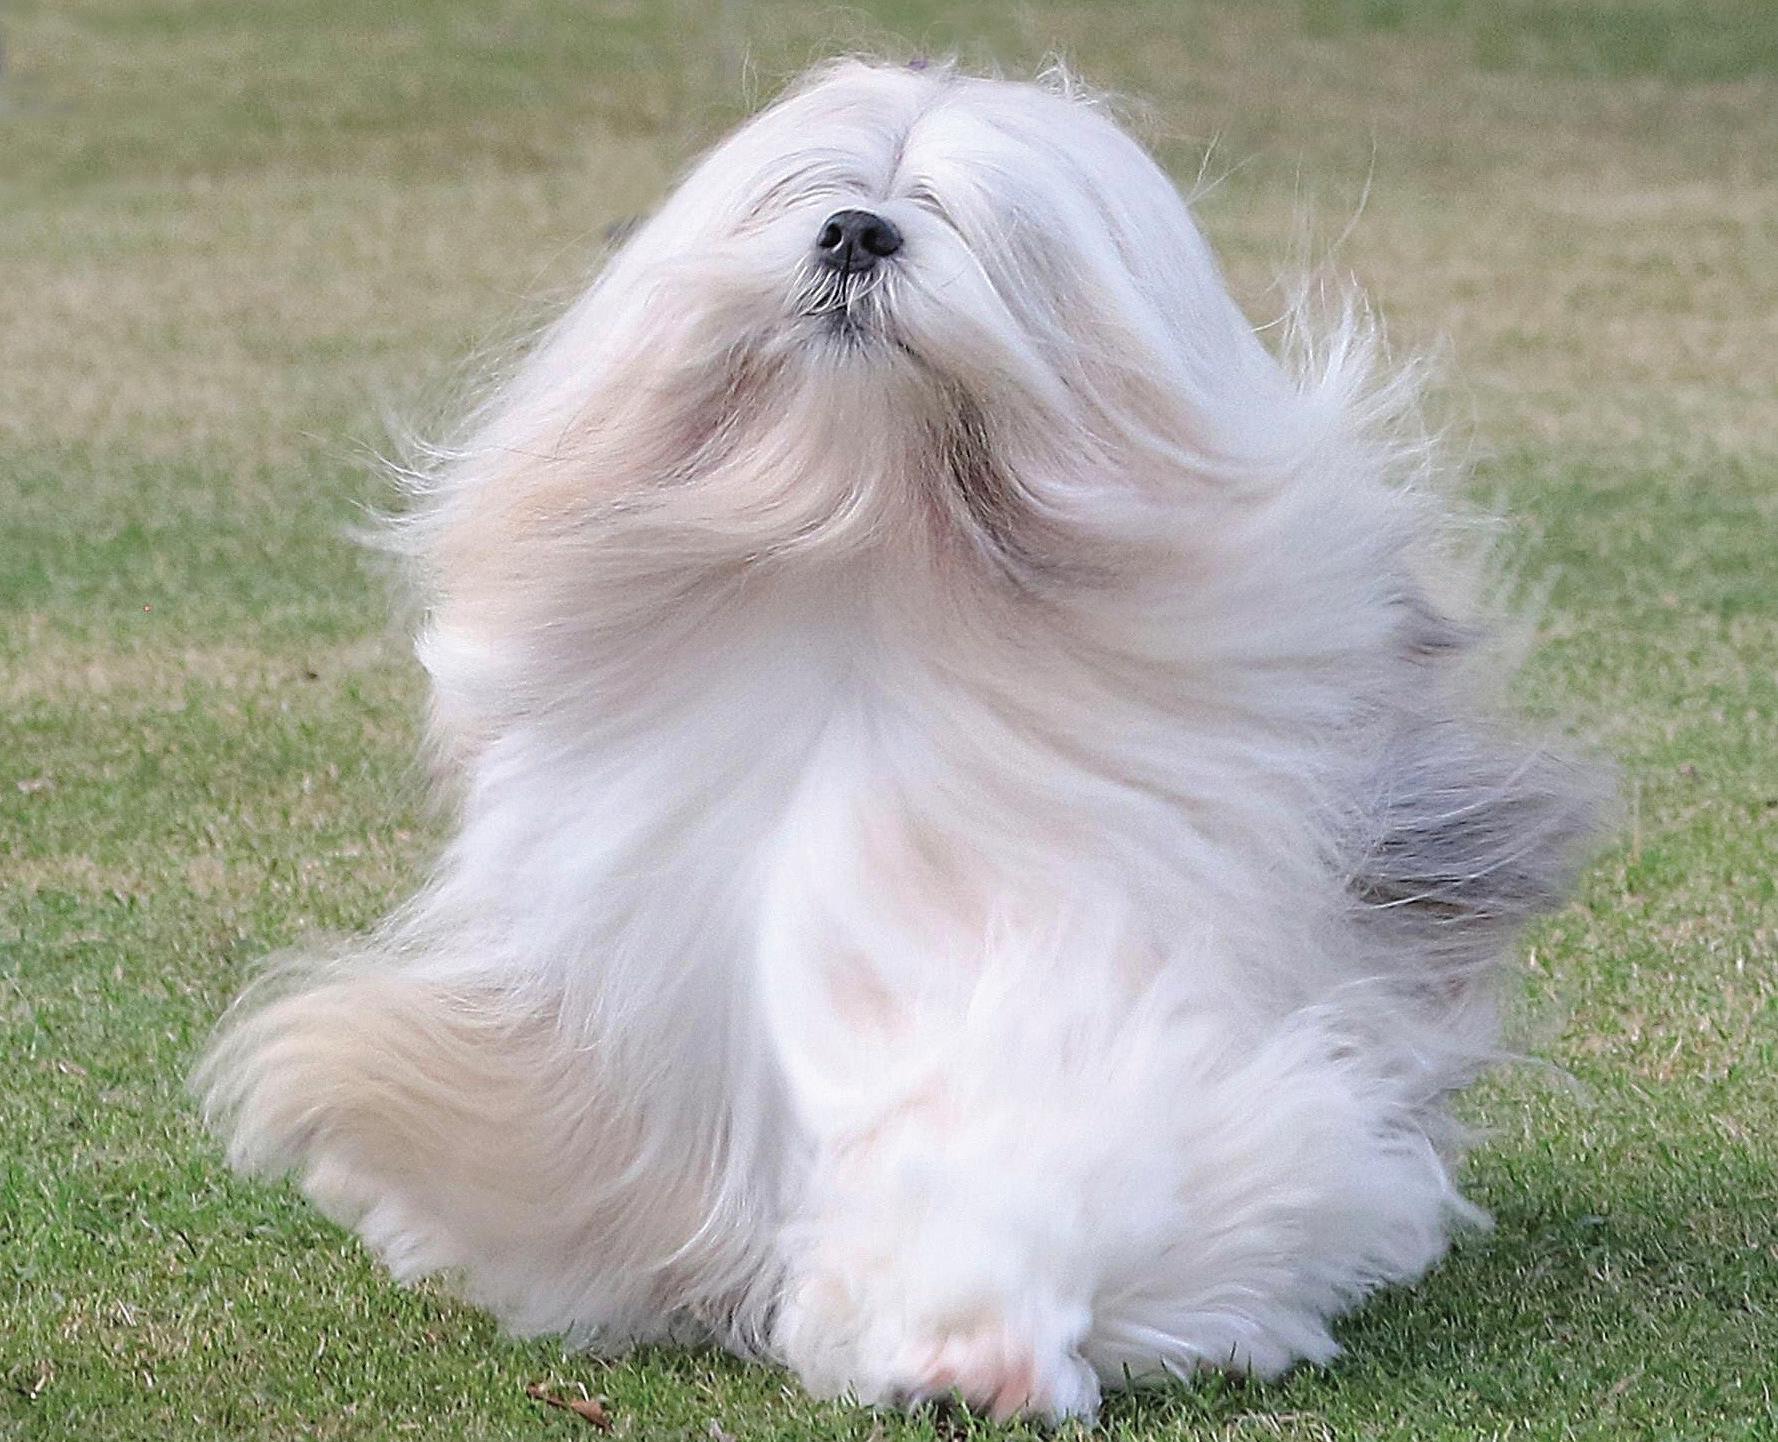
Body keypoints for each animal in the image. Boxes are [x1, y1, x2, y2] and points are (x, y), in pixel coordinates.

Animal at [197, 59, 1601, 1421]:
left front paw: (976, 1340)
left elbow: (1034, 1136)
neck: (871, 566)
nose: (857, 230)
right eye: (803, 192)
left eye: (973, 222)